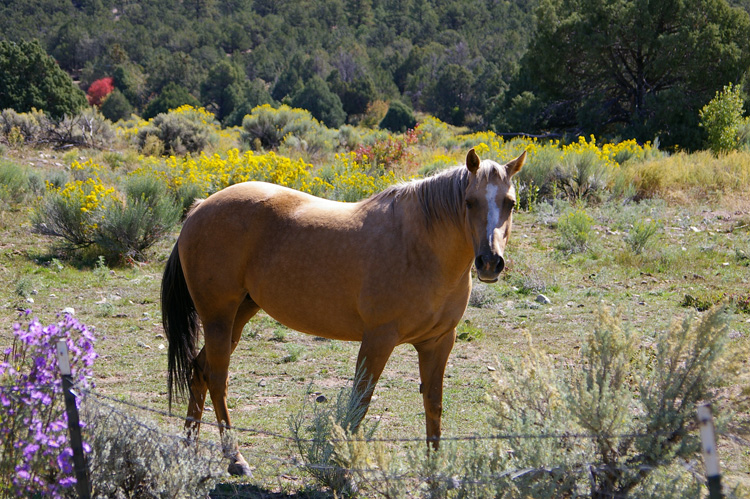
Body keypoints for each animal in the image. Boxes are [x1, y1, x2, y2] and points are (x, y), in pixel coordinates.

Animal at [164, 148, 528, 476]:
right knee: (217, 379)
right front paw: (343, 470)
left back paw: (189, 449)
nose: (490, 262)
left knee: (200, 370)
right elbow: (359, 404)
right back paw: (235, 458)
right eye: (469, 201)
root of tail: (199, 208)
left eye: (510, 203)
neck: (421, 246)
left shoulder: (438, 342)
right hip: (219, 317)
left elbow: (433, 405)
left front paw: (435, 470)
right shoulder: (378, 339)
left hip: (238, 314)